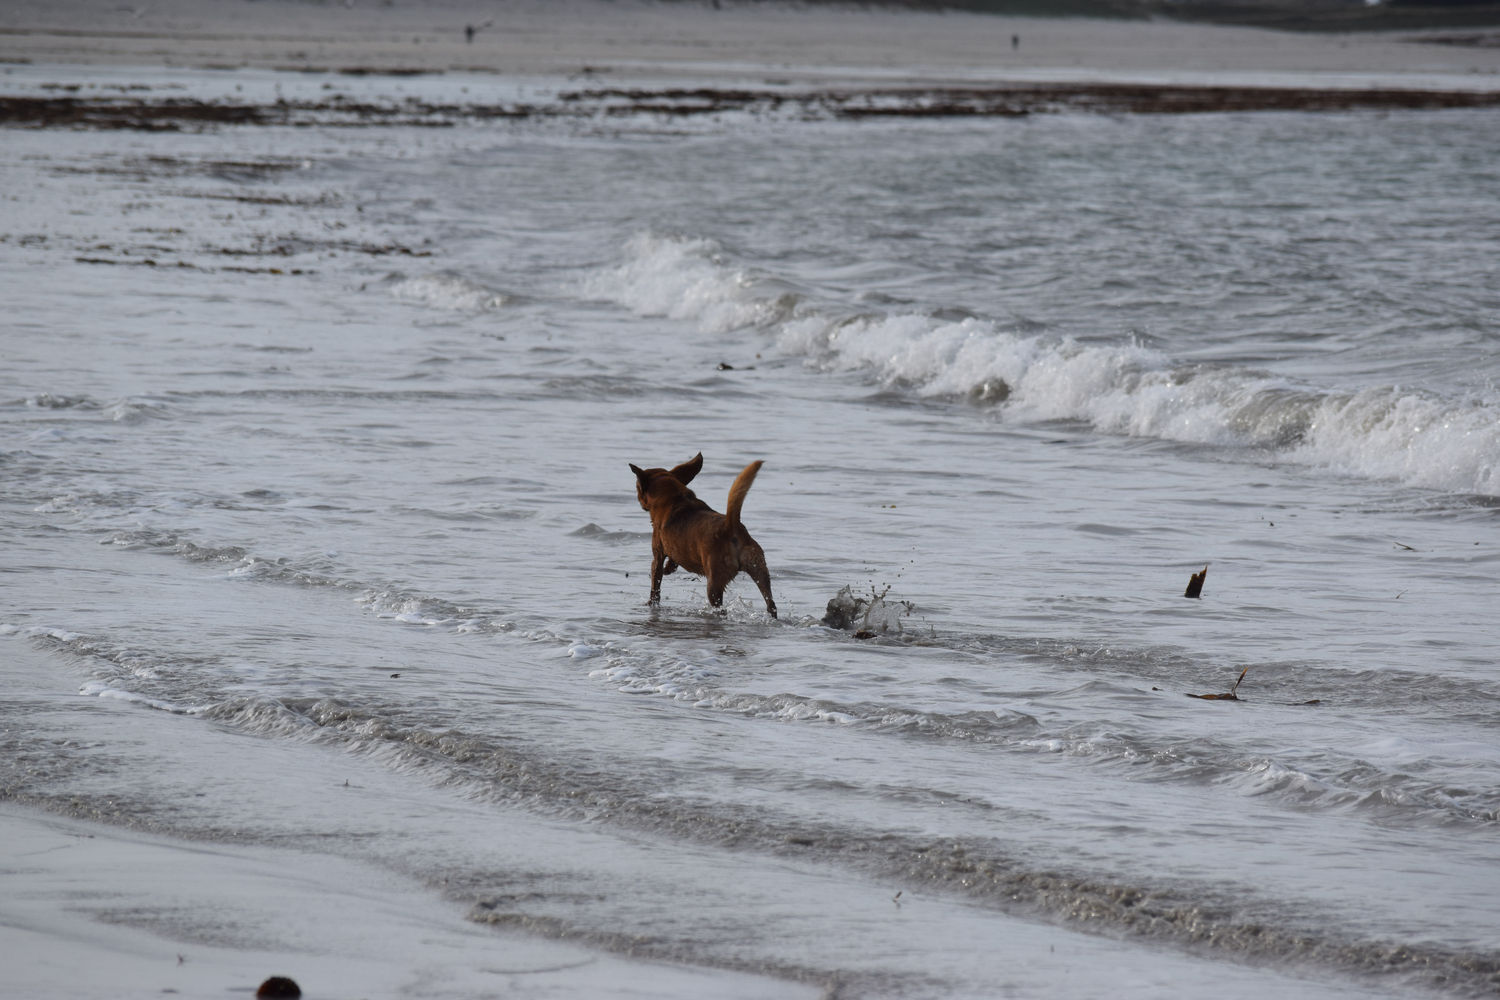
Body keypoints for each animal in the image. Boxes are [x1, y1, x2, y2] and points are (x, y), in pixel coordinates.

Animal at [627, 455, 780, 617]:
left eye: (637, 488)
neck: (674, 499)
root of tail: (731, 525)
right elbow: (673, 562)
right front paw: (668, 569)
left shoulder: (657, 555)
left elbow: (655, 585)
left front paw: (651, 602)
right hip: (760, 571)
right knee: (771, 604)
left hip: (714, 583)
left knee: (720, 607)